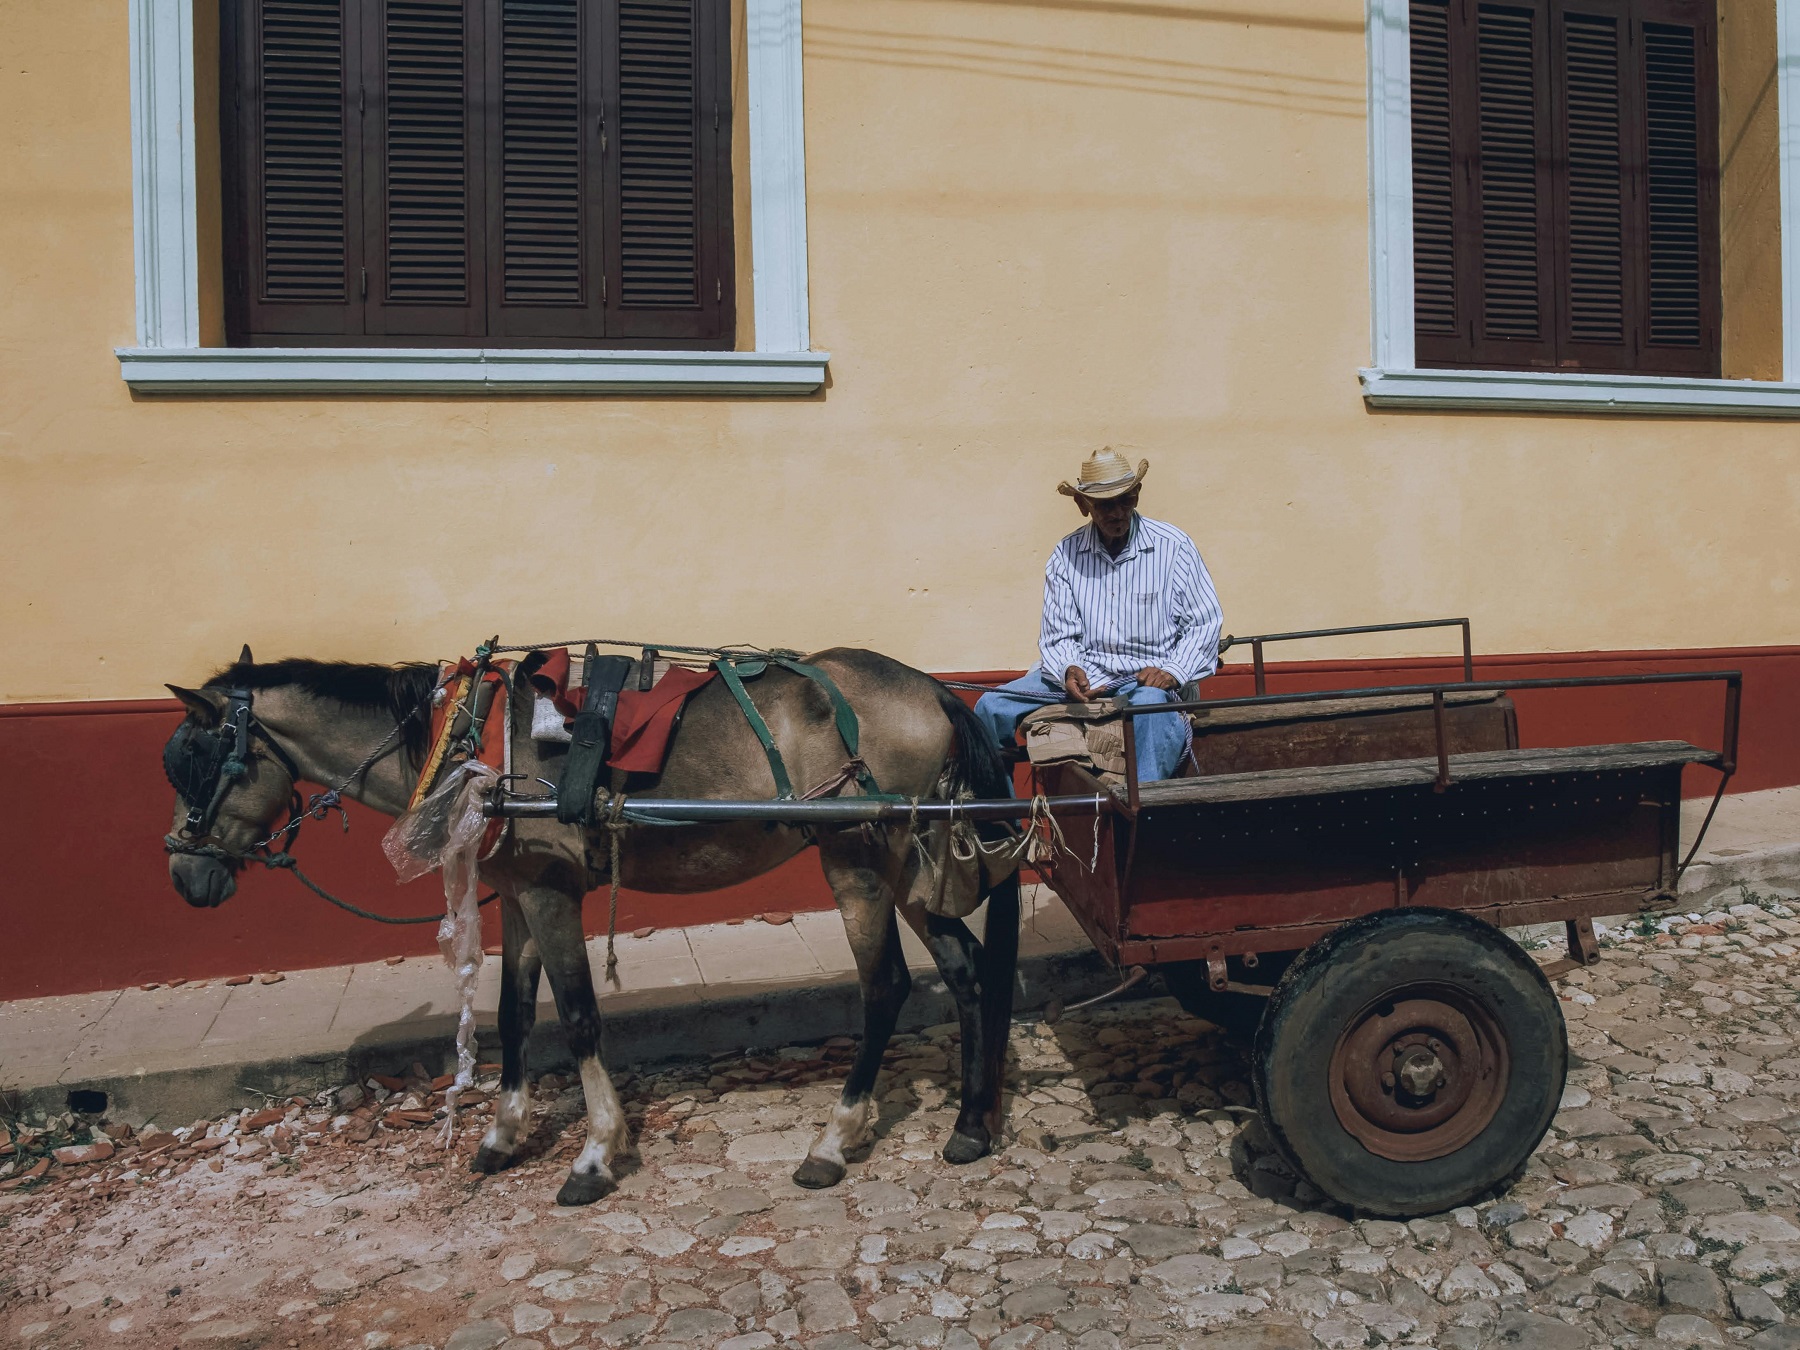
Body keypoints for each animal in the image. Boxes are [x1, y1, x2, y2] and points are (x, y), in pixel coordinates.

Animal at [162, 651, 1022, 1209]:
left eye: (200, 762)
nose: (184, 876)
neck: (472, 741)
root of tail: (933, 689)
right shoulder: (517, 896)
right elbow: (514, 1016)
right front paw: (504, 1137)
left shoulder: (550, 892)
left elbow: (576, 1017)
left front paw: (597, 1154)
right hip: (912, 854)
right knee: (968, 967)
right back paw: (971, 1125)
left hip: (858, 854)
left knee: (886, 986)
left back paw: (833, 1141)